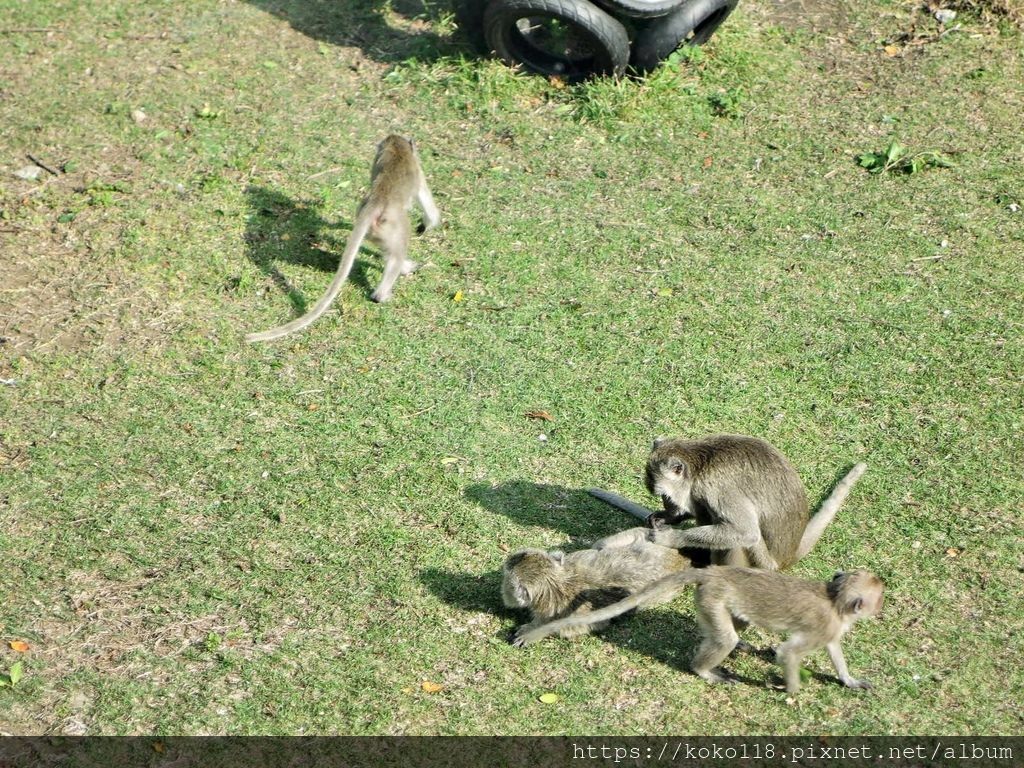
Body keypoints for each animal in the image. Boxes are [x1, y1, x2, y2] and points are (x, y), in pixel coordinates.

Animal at [248, 135, 444, 342]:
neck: (397, 148)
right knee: (396, 254)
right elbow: (427, 202)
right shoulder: (418, 170)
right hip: (393, 227)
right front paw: (427, 224)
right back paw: (385, 291)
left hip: (378, 231)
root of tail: (375, 203)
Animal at [516, 565, 884, 696]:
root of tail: (717, 571)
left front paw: (849, 680)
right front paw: (790, 690)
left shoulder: (832, 629)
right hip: (713, 597)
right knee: (725, 637)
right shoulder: (825, 625)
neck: (836, 600)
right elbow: (789, 653)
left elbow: (834, 650)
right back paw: (705, 670)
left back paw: (741, 646)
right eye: (878, 599)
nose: (880, 610)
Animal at [593, 436, 864, 573]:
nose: (669, 506)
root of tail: (787, 558)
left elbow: (745, 532)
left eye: (665, 495)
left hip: (762, 564)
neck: (701, 462)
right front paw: (668, 518)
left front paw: (670, 538)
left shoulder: (717, 487)